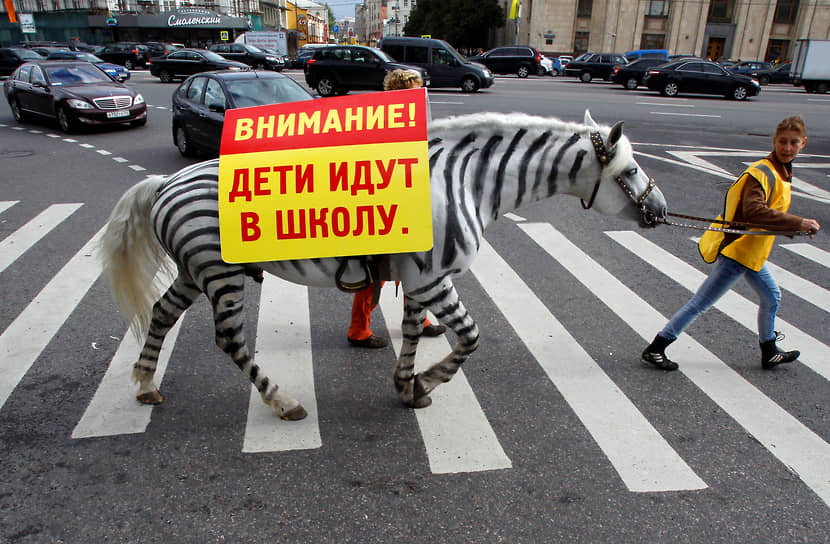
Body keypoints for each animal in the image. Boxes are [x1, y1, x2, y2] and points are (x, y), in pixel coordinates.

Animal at [102, 110, 668, 420]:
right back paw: (283, 402)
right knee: (230, 340)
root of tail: (166, 181)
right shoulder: (436, 281)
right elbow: (469, 337)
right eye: (630, 172)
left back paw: (146, 385)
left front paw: (407, 386)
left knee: (161, 314)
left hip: (195, 272)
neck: (464, 181)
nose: (661, 213)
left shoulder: (419, 281)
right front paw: (429, 382)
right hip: (219, 275)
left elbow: (414, 332)